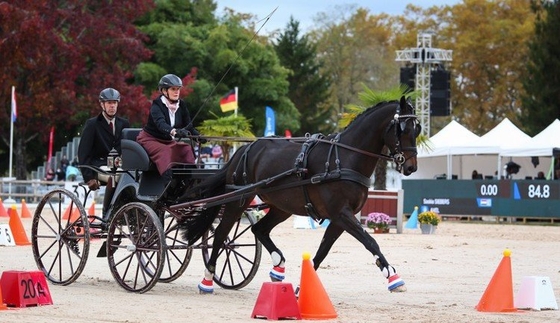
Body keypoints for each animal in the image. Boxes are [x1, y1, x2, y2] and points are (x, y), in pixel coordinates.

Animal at [179, 96, 420, 294]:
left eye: (417, 129)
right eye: (403, 129)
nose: (411, 167)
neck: (344, 157)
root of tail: (243, 150)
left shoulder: (339, 219)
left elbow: (323, 250)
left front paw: (300, 288)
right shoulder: (341, 213)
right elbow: (370, 241)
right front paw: (393, 276)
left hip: (281, 206)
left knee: (259, 229)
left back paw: (278, 266)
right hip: (238, 201)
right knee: (221, 235)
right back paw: (207, 280)